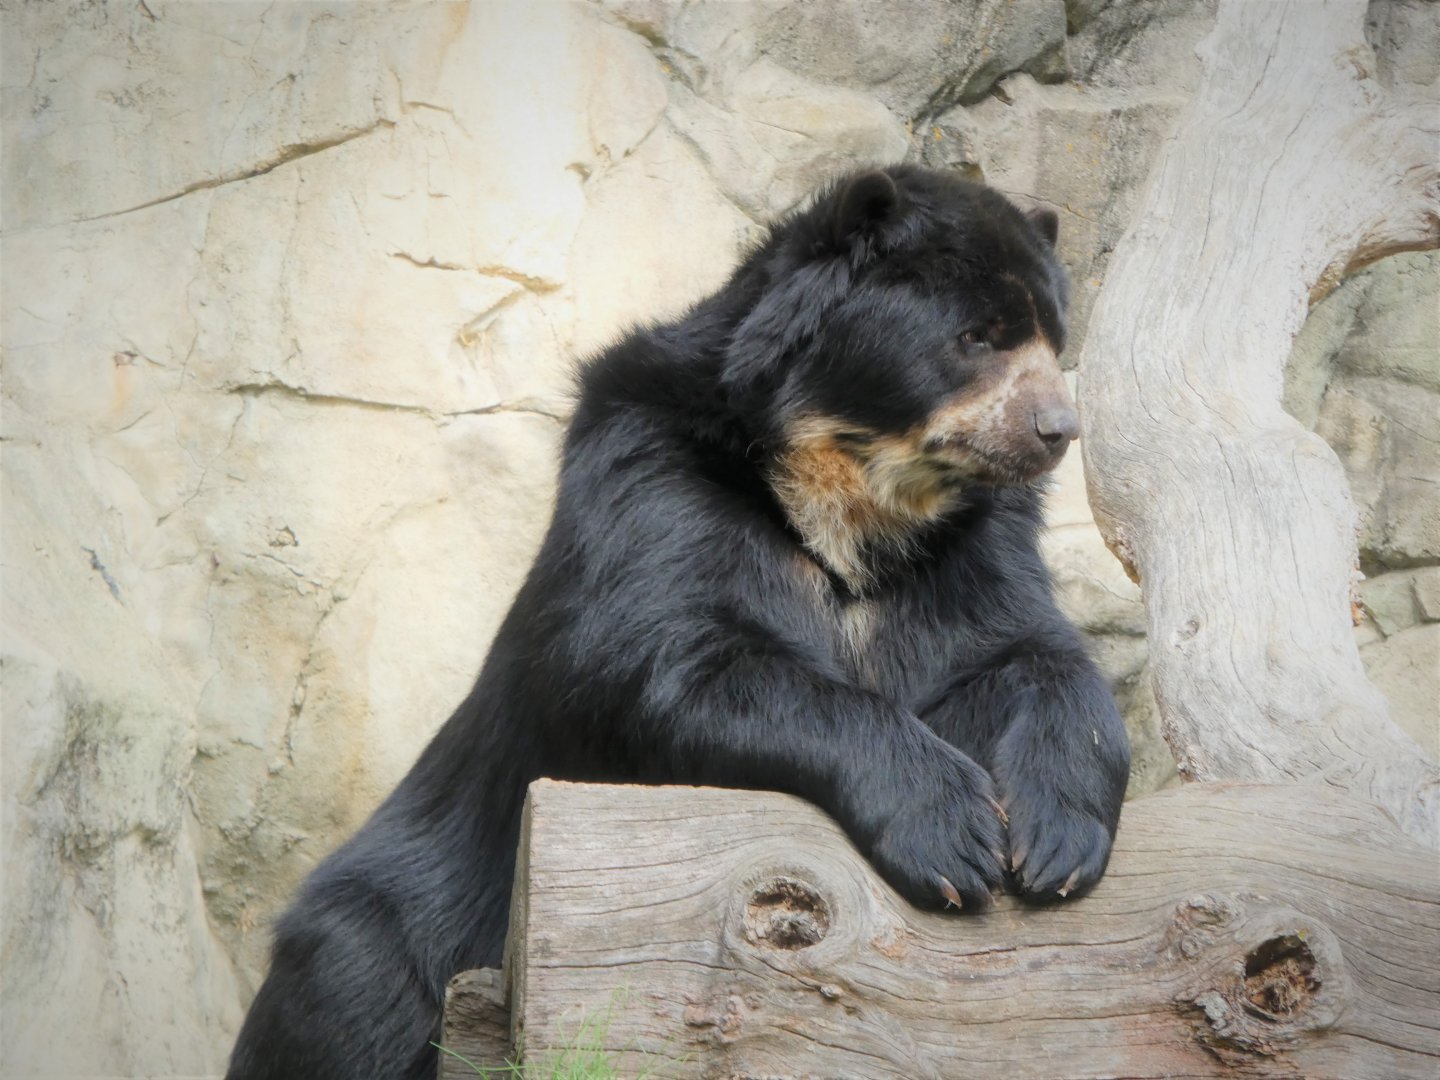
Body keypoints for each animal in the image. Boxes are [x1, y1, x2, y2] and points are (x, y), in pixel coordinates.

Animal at [226, 165, 1130, 1080]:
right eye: (978, 336)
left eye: (1052, 341)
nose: (1058, 429)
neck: (852, 500)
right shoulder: (659, 480)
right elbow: (673, 665)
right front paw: (954, 839)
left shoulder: (964, 552)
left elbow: (1026, 657)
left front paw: (1055, 846)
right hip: (409, 919)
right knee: (353, 1002)